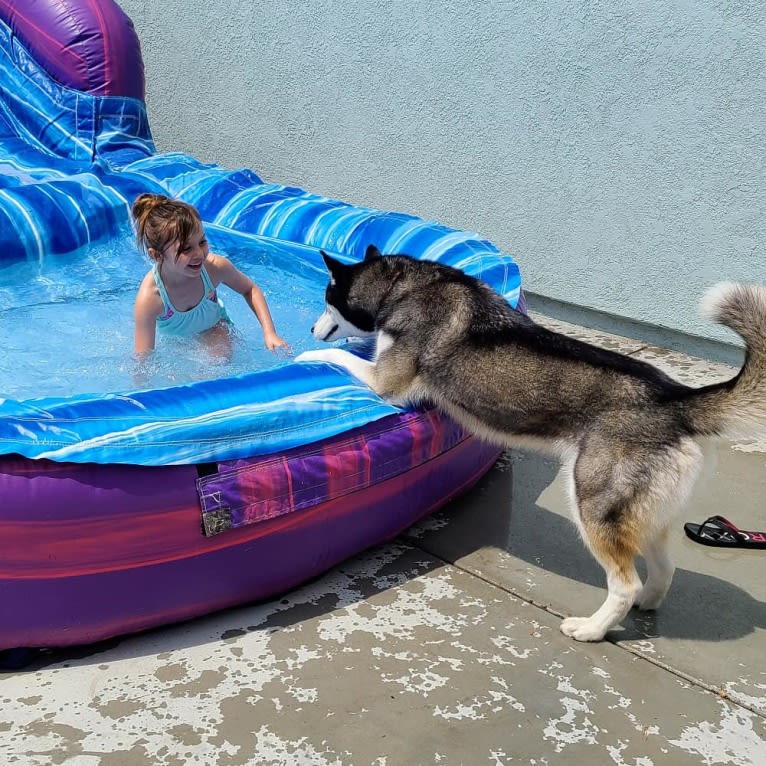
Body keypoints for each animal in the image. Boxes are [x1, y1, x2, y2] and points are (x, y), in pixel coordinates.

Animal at [296, 246, 766, 640]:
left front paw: (303, 357)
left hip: (591, 503)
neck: (407, 285)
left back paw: (592, 629)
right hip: (643, 517)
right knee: (664, 570)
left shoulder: (386, 384)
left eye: (326, 299)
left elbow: (342, 358)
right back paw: (647, 604)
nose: (312, 328)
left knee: (625, 584)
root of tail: (677, 399)